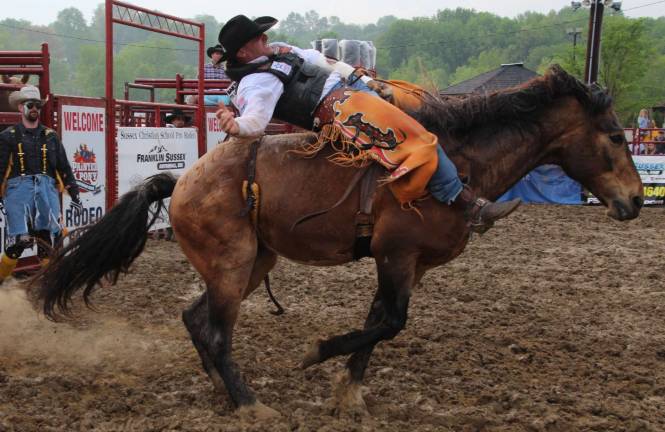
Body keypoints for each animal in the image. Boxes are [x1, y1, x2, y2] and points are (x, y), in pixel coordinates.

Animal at [37, 66, 644, 418]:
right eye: (616, 136)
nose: (638, 200)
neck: (456, 165)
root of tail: (180, 178)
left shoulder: (406, 265)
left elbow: (378, 323)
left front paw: (348, 394)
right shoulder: (396, 255)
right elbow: (390, 322)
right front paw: (316, 354)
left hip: (254, 263)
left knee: (195, 318)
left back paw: (219, 391)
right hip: (232, 265)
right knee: (217, 332)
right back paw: (250, 404)